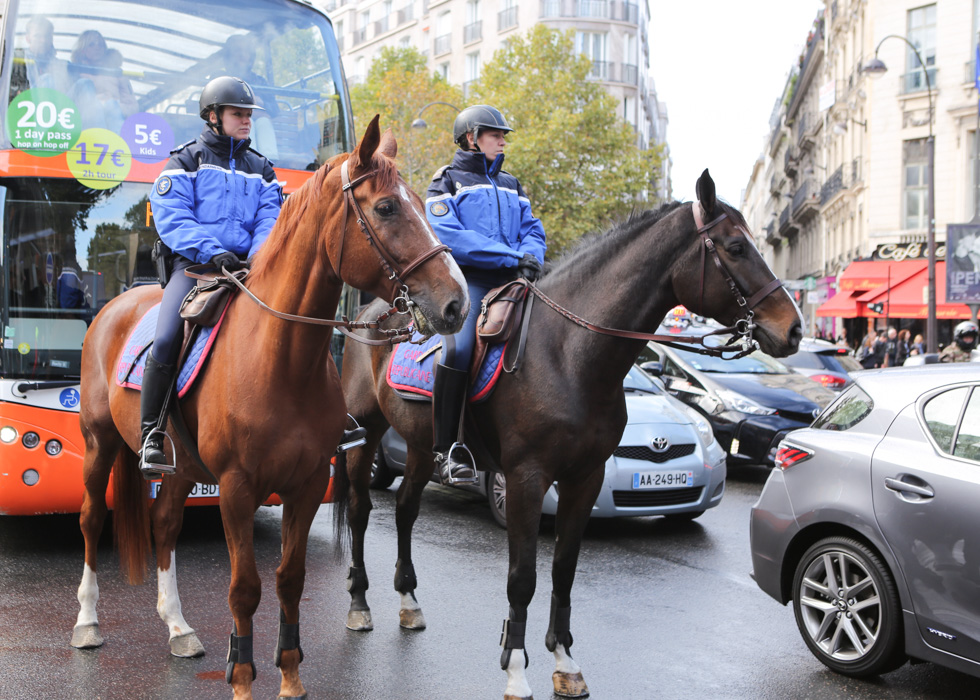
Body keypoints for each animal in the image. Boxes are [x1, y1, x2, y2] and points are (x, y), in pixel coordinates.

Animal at [69, 117, 468, 696]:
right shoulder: (237, 489)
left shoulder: (306, 484)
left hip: (181, 467)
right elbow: (245, 588)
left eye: (422, 202)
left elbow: (289, 579)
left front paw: (290, 675)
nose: (456, 303)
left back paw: (178, 627)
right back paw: (87, 621)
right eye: (388, 207)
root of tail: (118, 303)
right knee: (93, 519)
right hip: (99, 444)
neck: (281, 362)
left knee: (164, 524)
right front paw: (241, 675)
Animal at [336, 171, 804, 700]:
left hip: (419, 445)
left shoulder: (585, 477)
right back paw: (359, 604)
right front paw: (516, 669)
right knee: (360, 510)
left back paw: (409, 601)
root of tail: (371, 313)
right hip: (366, 431)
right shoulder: (526, 478)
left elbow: (564, 569)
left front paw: (564, 660)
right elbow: (523, 577)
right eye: (735, 247)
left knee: (406, 510)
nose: (793, 329)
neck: (569, 354)